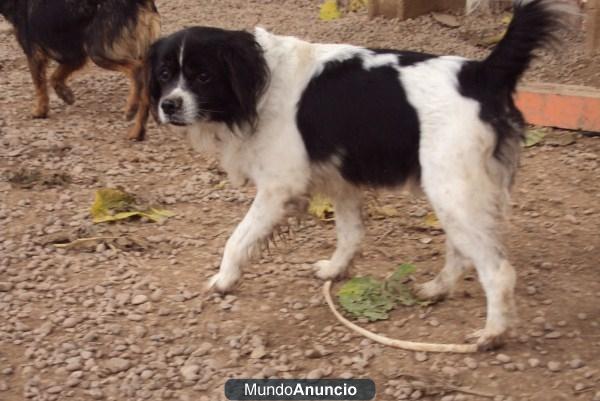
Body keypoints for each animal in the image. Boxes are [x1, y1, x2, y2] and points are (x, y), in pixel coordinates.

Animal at [0, 0, 159, 139]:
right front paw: (65, 94)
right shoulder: (75, 57)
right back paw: (137, 132)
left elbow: (39, 86)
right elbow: (55, 77)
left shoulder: (34, 54)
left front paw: (40, 110)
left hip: (98, 51)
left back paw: (131, 108)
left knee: (136, 70)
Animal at [149, 0, 572, 348]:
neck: (260, 83)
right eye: (166, 74)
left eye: (203, 76)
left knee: (497, 271)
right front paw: (336, 270)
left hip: (452, 191)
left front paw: (224, 280)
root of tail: (481, 73)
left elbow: (236, 240)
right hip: (455, 191)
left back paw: (493, 334)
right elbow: (350, 234)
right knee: (463, 251)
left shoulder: (278, 187)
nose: (168, 105)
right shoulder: (342, 179)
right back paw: (436, 290)